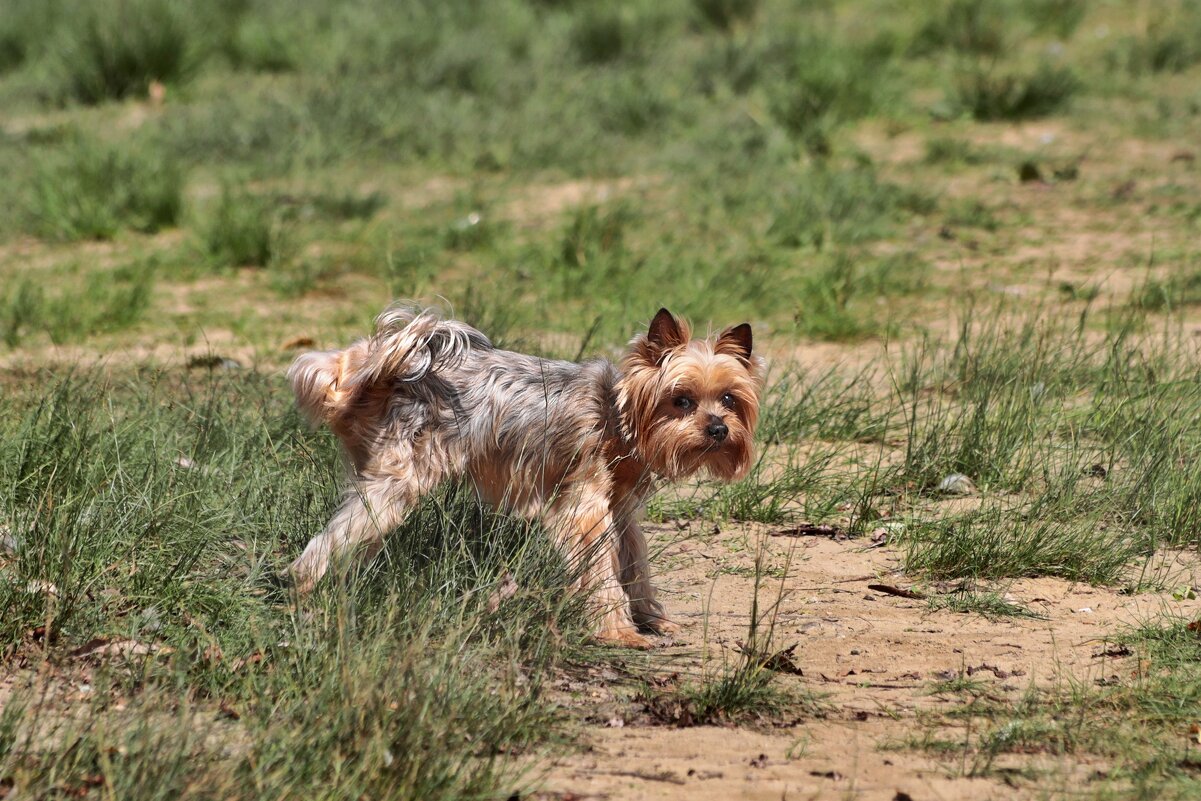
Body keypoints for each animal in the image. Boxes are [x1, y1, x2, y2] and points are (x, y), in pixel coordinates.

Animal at [285, 303, 763, 648]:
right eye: (681, 400)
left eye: (729, 399)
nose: (718, 429)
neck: (618, 417)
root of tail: (375, 377)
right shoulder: (585, 510)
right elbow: (602, 572)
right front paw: (620, 633)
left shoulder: (622, 511)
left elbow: (634, 564)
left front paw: (653, 620)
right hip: (401, 480)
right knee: (332, 538)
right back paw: (304, 589)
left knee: (356, 533)